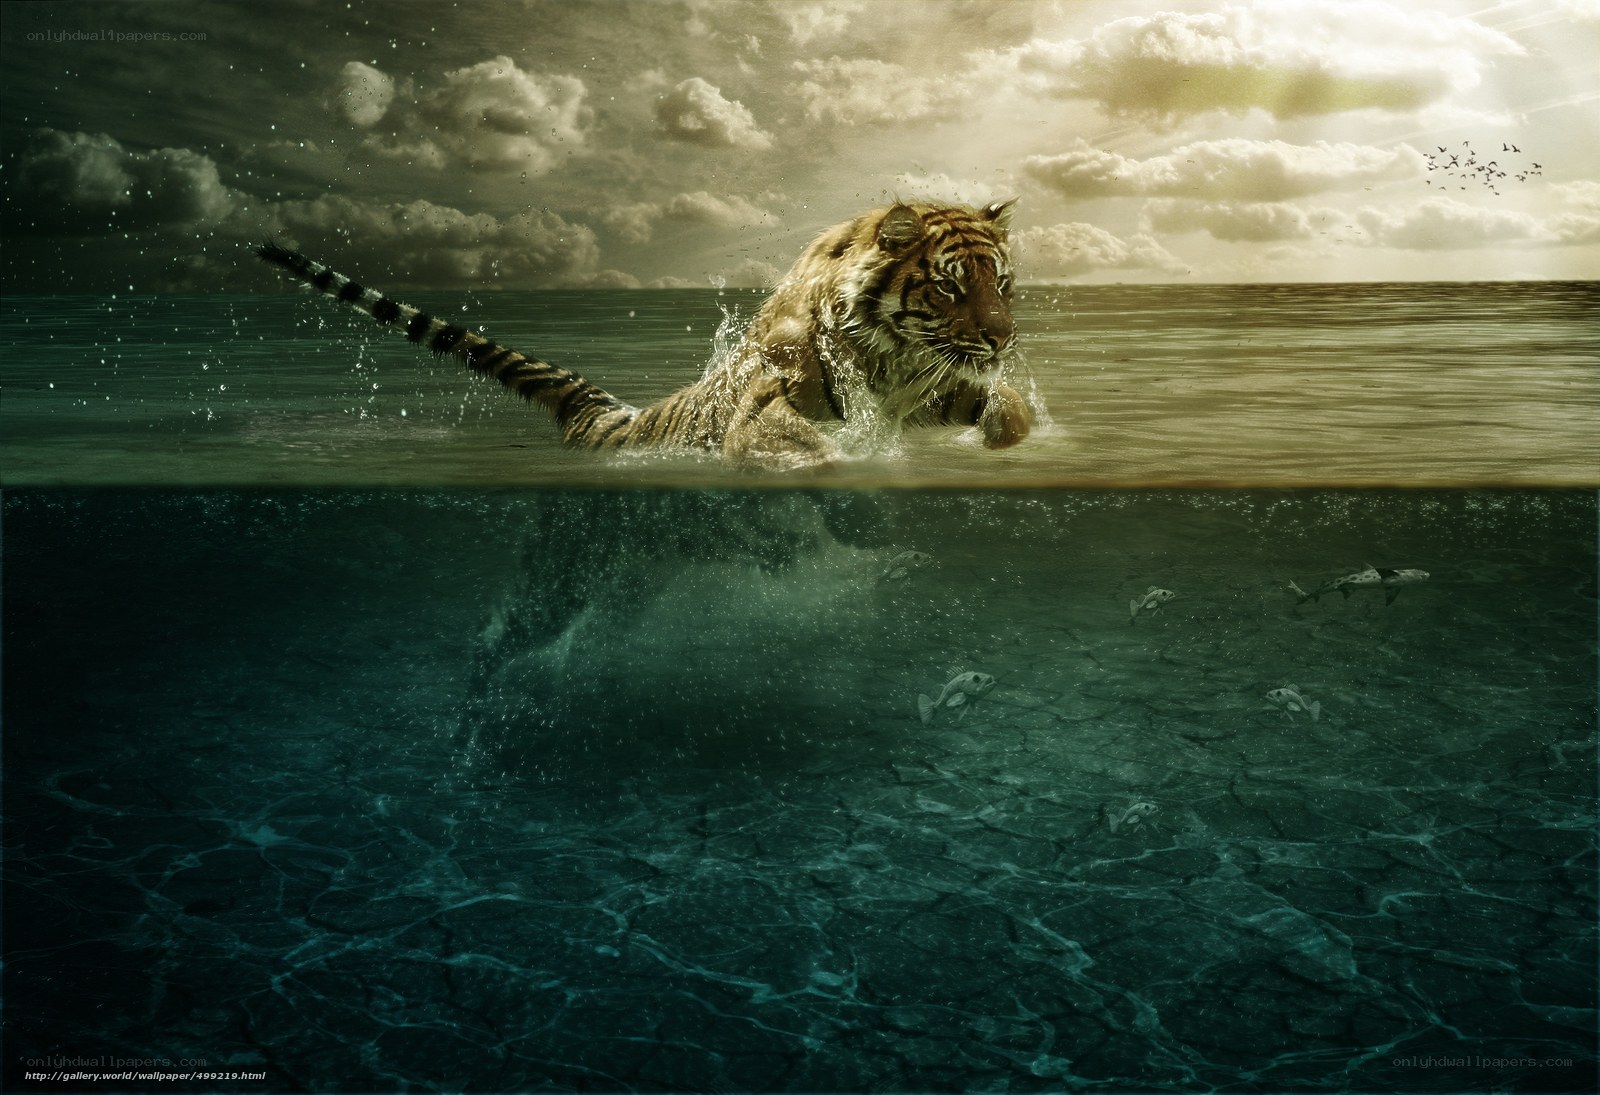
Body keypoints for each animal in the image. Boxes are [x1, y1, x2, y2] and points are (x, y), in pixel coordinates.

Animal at [254, 199, 1031, 469]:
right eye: (948, 287)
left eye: (1002, 284)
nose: (1001, 340)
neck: (893, 362)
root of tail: (607, 416)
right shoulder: (766, 404)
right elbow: (800, 444)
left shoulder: (934, 389)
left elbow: (1008, 411)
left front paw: (1004, 434)